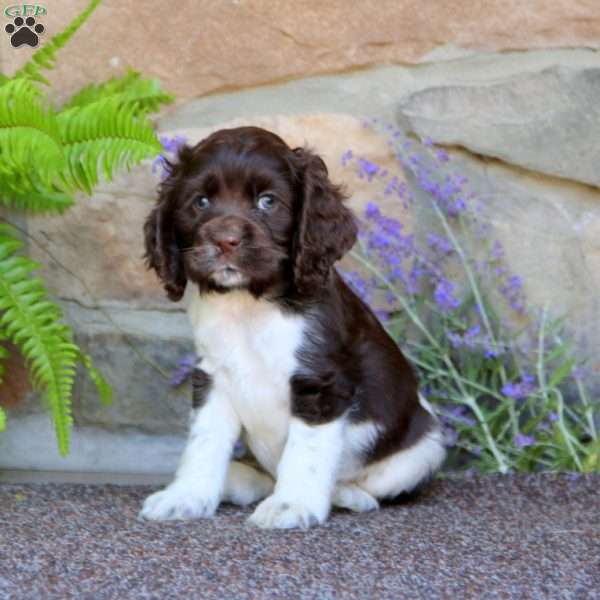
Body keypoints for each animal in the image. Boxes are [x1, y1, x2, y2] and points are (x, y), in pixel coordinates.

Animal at [138, 126, 442, 528]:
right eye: (200, 202)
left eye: (268, 201)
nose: (225, 240)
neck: (249, 306)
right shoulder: (213, 377)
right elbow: (204, 442)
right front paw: (186, 495)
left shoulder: (321, 383)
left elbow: (306, 452)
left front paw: (291, 505)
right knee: (262, 479)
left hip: (425, 448)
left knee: (374, 486)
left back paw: (344, 494)